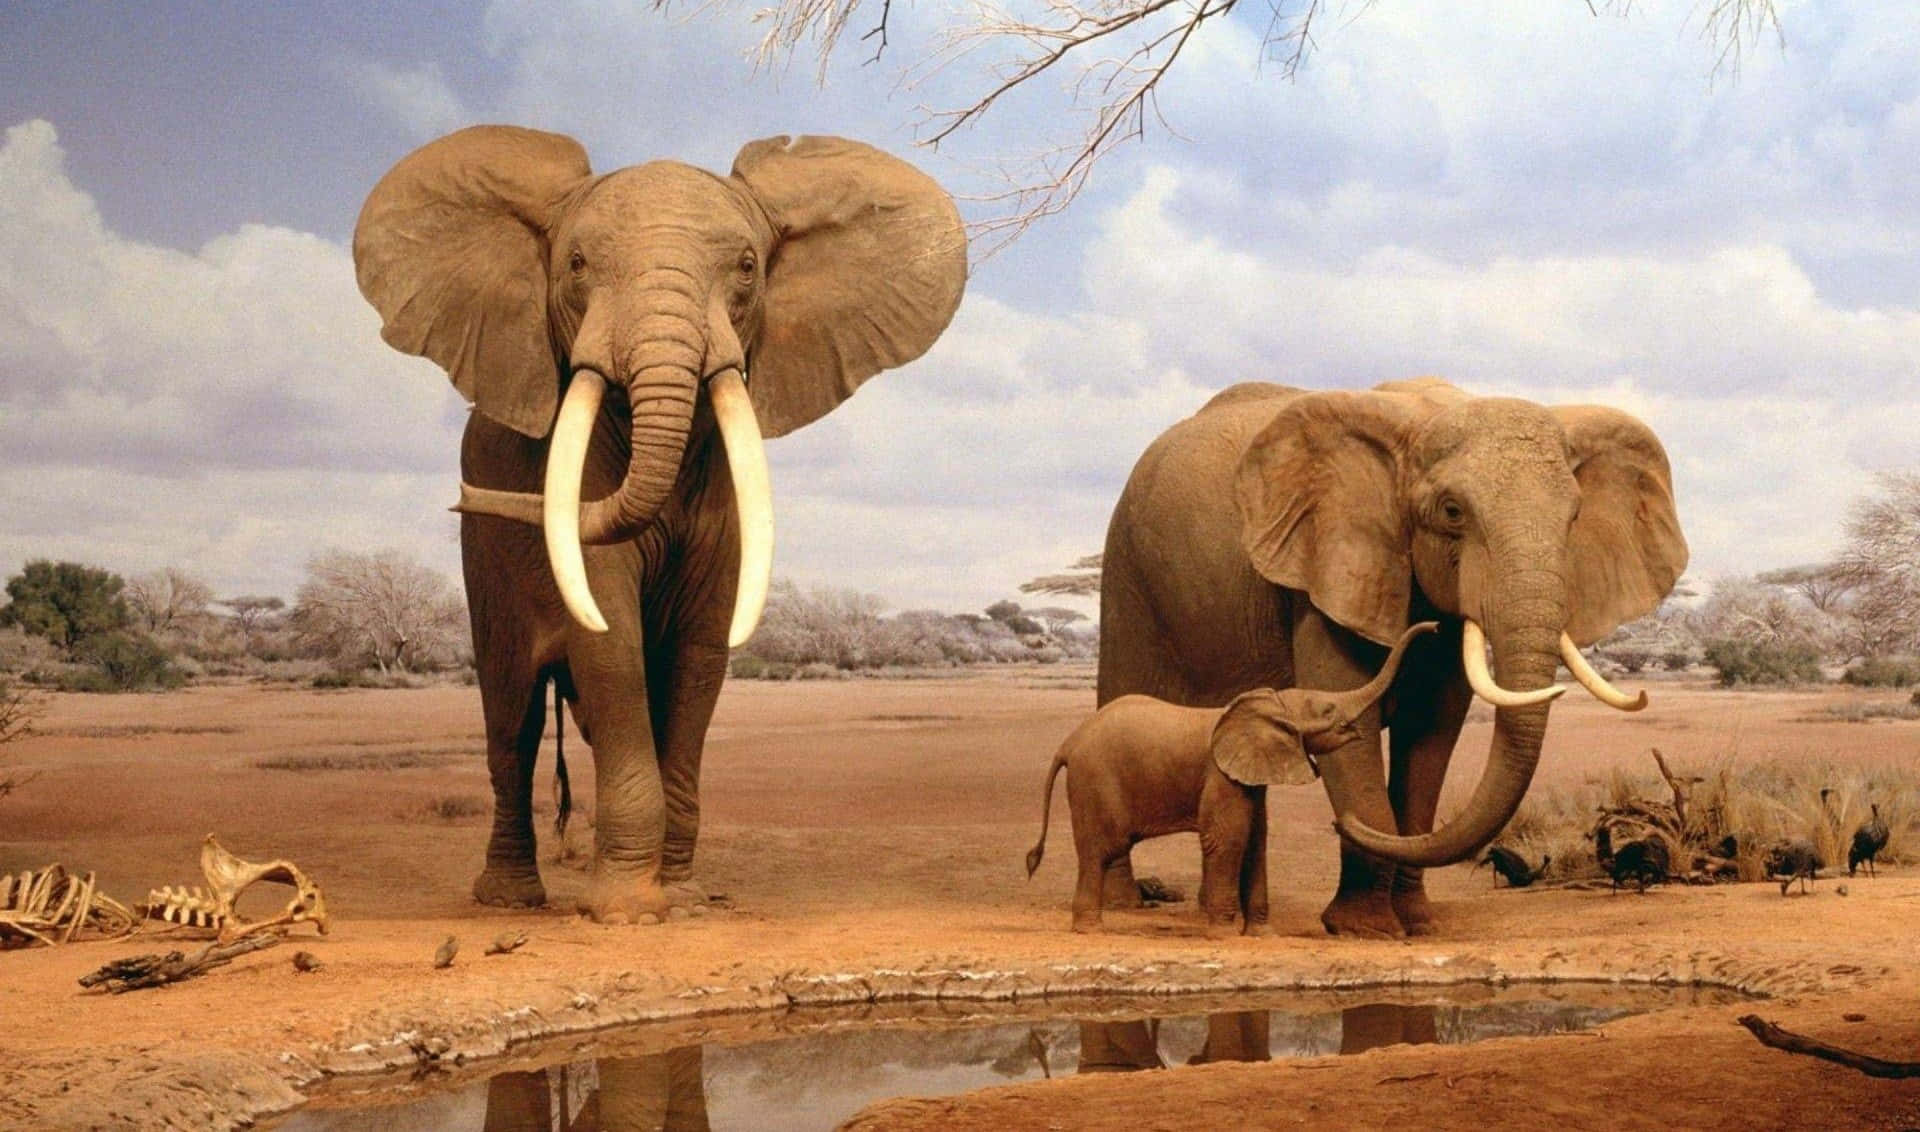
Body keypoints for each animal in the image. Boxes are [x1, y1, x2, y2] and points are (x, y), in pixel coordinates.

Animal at [353, 126, 966, 922]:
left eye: (747, 267)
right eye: (577, 265)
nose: (463, 496)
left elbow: (700, 655)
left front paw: (684, 898)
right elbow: (610, 641)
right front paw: (627, 912)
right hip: (483, 563)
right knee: (511, 721)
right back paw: (510, 901)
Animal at [1027, 622, 1435, 935]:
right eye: (1327, 709)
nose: (1434, 627)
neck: (1268, 704)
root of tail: (1068, 743)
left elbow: (1256, 840)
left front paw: (1262, 935)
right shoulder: (1220, 775)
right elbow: (1228, 839)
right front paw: (1223, 935)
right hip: (1094, 781)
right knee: (1099, 850)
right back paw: (1090, 929)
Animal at [1098, 378, 1687, 939]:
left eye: (1575, 516)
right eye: (1452, 512)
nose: (1340, 823)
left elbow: (1432, 733)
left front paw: (1418, 924)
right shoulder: (1329, 570)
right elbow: (1350, 717)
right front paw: (1366, 928)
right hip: (1127, 571)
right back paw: (1123, 904)